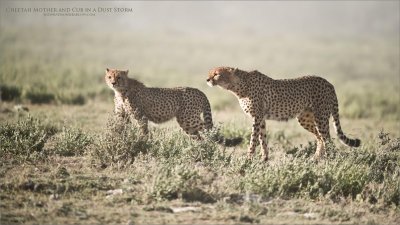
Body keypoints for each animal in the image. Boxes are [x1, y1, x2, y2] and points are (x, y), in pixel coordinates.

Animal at [105, 67, 241, 147]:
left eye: (119, 77)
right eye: (110, 76)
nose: (113, 83)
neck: (121, 90)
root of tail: (199, 90)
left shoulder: (140, 116)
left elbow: (143, 130)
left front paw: (143, 141)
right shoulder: (122, 115)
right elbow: (120, 129)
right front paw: (118, 140)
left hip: (188, 118)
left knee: (209, 130)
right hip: (186, 123)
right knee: (198, 136)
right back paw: (198, 150)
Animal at [208, 66, 360, 161]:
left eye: (216, 73)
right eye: (211, 73)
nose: (207, 79)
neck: (239, 86)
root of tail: (329, 83)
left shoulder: (257, 117)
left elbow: (253, 140)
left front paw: (248, 159)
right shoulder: (261, 118)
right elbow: (263, 139)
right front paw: (264, 159)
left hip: (320, 117)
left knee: (327, 139)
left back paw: (329, 160)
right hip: (305, 118)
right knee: (320, 137)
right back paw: (315, 159)